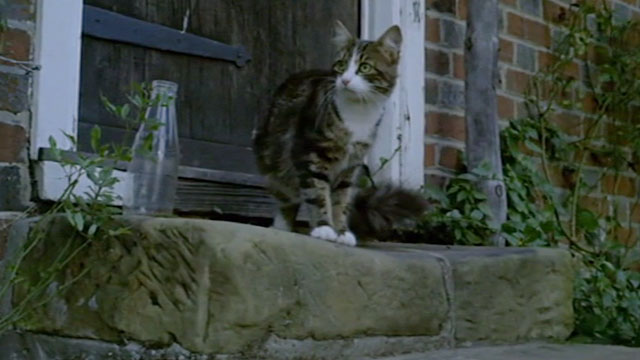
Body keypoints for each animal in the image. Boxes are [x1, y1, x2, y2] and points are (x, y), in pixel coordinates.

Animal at [252, 21, 428, 246]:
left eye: (365, 67)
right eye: (341, 66)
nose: (345, 80)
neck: (358, 113)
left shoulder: (351, 164)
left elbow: (341, 200)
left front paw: (342, 231)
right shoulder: (309, 152)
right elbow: (317, 193)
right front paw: (324, 228)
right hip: (275, 155)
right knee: (287, 198)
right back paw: (281, 228)